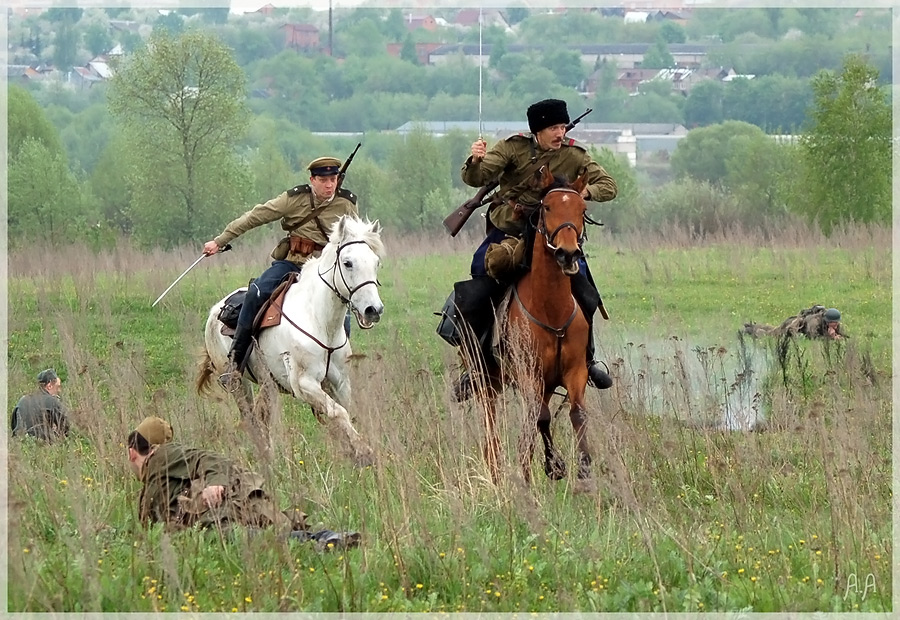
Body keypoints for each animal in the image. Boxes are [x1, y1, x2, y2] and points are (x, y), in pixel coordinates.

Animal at [199, 213, 384, 460]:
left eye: (376, 263)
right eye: (348, 263)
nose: (373, 310)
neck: (319, 320)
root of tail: (215, 310)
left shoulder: (340, 383)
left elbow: (343, 413)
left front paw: (352, 452)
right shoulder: (304, 383)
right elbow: (338, 413)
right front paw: (364, 451)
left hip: (267, 384)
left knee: (263, 417)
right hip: (239, 384)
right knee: (251, 418)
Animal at [472, 166, 596, 490]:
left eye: (582, 208)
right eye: (547, 207)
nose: (568, 253)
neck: (551, 311)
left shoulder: (575, 371)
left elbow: (577, 414)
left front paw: (584, 469)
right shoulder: (529, 374)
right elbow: (541, 418)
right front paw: (552, 466)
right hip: (487, 382)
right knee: (492, 428)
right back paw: (498, 472)